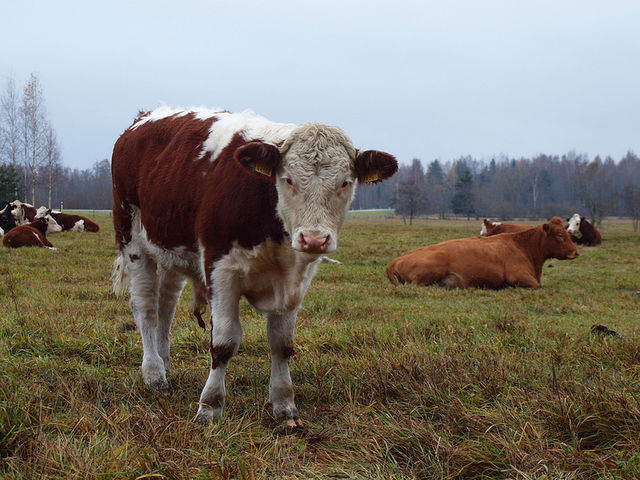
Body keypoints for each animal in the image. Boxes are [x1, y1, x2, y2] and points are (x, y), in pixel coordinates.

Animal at [112, 106, 398, 428]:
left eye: (345, 182)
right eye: (288, 179)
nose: (314, 239)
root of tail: (144, 118)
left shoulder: (295, 279)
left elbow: (282, 343)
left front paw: (284, 405)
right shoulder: (220, 270)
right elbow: (224, 343)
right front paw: (209, 406)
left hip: (170, 251)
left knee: (166, 308)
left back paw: (165, 364)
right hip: (132, 240)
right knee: (146, 308)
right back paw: (154, 374)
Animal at [388, 218, 576, 288]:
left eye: (568, 233)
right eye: (560, 235)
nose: (575, 252)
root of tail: (395, 261)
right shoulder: (518, 275)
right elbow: (536, 285)